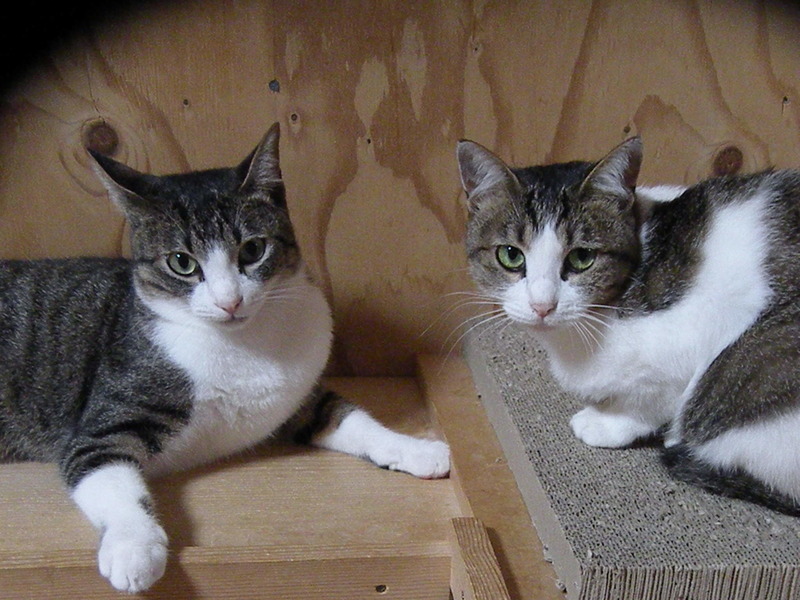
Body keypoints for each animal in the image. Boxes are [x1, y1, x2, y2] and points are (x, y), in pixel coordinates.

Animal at [0, 122, 450, 593]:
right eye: (181, 262)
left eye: (252, 250)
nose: (229, 301)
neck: (241, 345)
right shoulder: (104, 424)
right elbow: (107, 474)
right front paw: (133, 548)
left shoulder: (297, 399)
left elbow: (352, 418)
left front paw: (415, 449)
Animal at [456, 135, 800, 516]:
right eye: (510, 255)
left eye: (582, 257)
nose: (542, 305)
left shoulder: (694, 336)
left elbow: (651, 400)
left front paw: (607, 422)